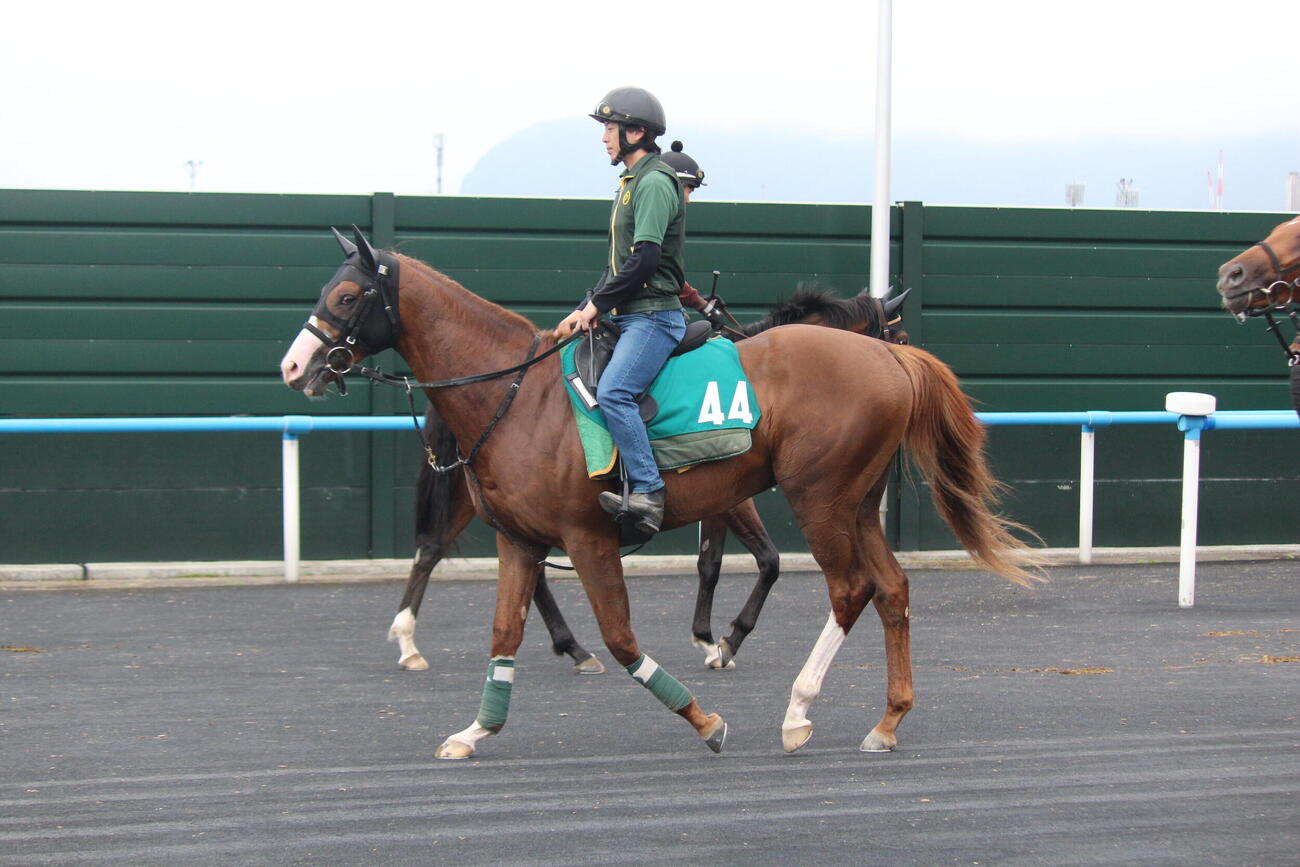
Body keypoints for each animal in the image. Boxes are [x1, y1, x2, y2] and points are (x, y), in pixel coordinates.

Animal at [387, 286, 911, 675]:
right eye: (902, 335)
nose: (904, 366)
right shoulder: (731, 499)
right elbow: (763, 561)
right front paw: (723, 640)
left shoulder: (722, 495)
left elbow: (718, 563)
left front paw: (709, 638)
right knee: (441, 550)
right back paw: (415, 638)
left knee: (485, 561)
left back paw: (565, 645)